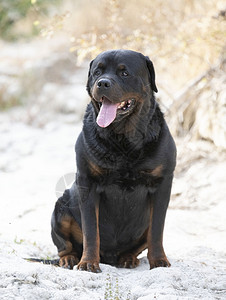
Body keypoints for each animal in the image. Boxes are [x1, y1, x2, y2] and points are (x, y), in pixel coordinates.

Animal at [50, 50, 177, 274]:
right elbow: (91, 230)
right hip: (61, 208)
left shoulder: (162, 183)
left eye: (124, 73)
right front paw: (87, 263)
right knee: (64, 245)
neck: (123, 139)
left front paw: (159, 261)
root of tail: (110, 257)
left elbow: (157, 230)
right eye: (97, 72)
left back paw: (128, 258)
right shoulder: (88, 182)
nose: (103, 83)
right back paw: (70, 259)